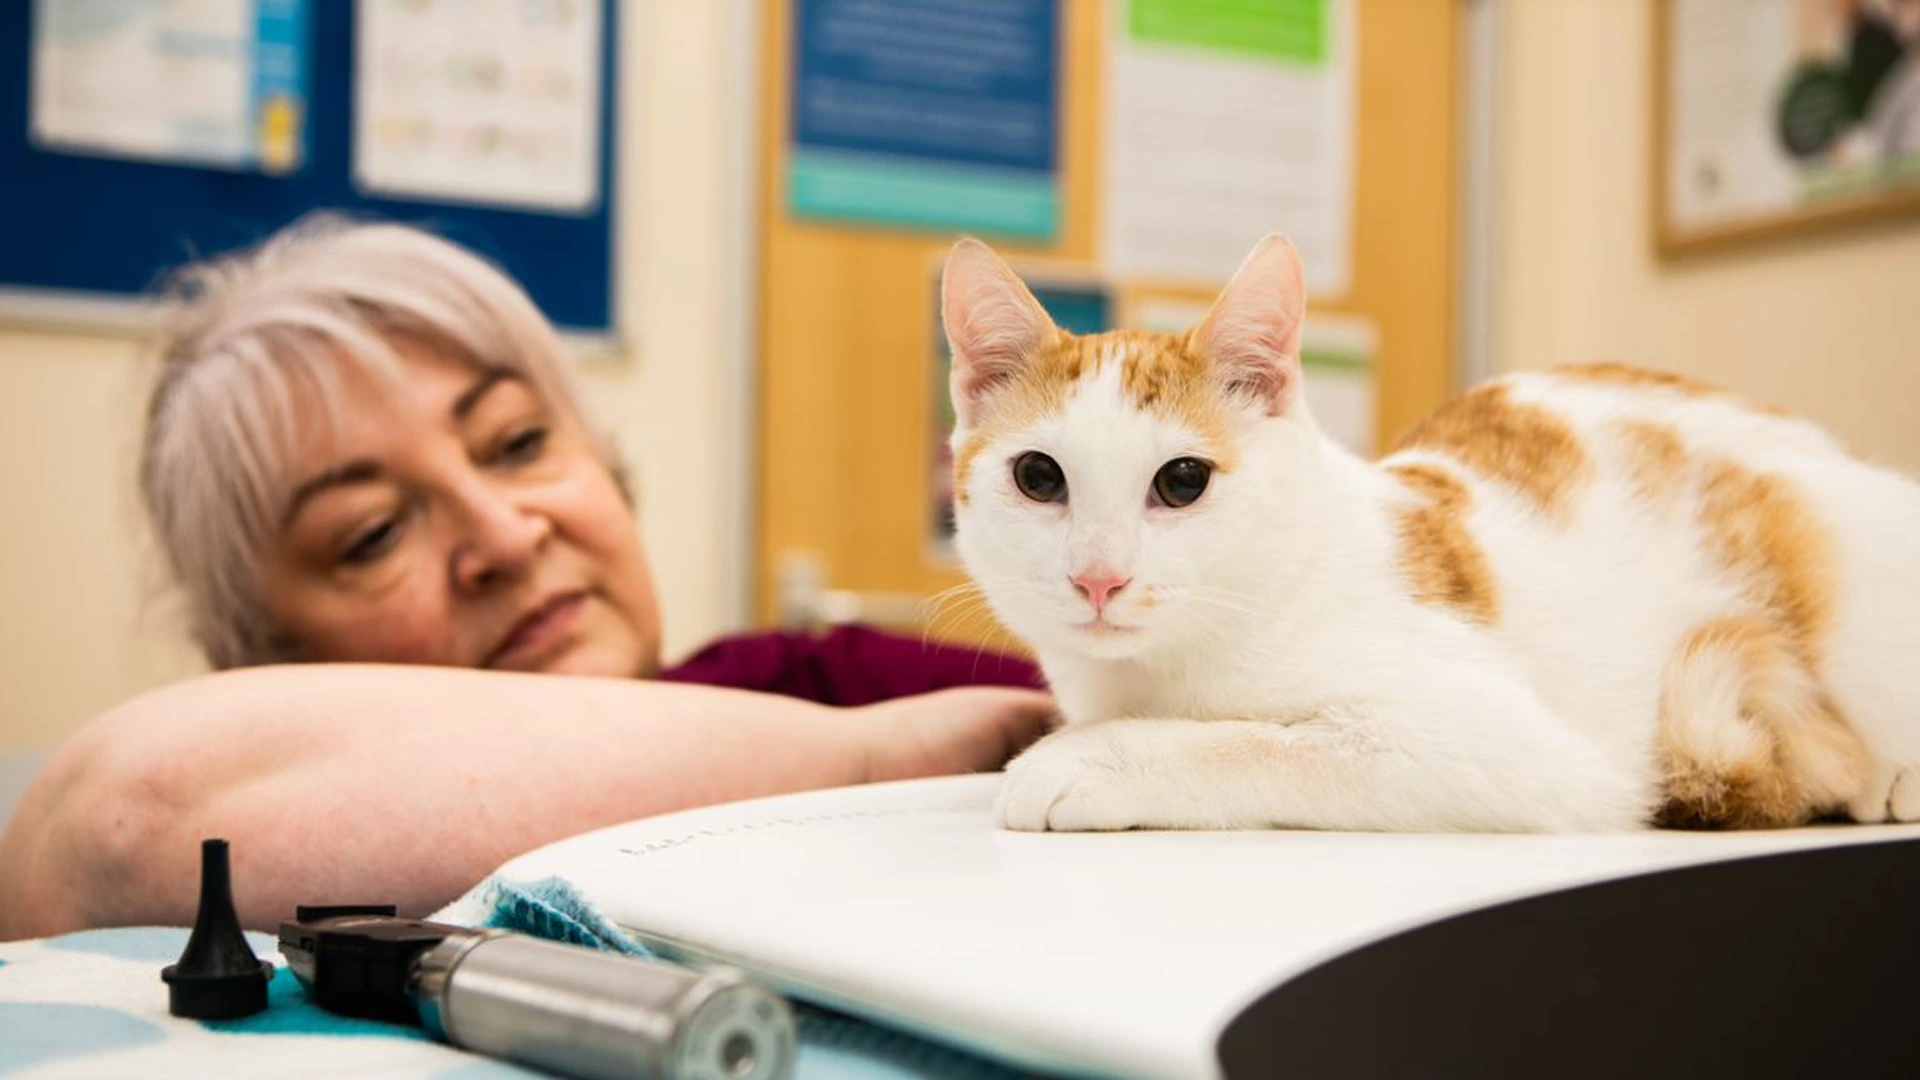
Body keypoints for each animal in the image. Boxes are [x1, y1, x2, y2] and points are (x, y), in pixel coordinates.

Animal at [944, 231, 1920, 826]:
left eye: (1182, 481)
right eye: (1039, 478)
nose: (1098, 577)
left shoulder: (1515, 748)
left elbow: (1261, 741)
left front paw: (1090, 759)